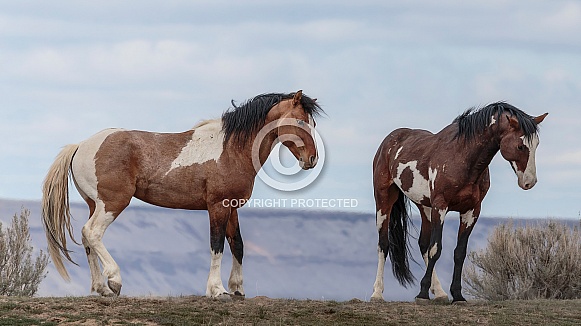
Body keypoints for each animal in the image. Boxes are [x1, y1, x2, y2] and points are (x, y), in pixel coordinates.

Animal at [40, 90, 322, 300]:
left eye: (313, 122)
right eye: (300, 121)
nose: (312, 159)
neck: (231, 148)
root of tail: (80, 146)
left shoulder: (232, 207)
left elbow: (238, 245)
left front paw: (238, 289)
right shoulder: (218, 206)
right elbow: (217, 245)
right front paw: (217, 290)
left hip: (94, 204)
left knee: (87, 239)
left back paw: (101, 288)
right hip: (112, 203)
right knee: (93, 232)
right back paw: (114, 280)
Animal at [370, 102, 548, 304]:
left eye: (536, 144)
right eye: (520, 145)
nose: (529, 182)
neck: (462, 157)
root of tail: (391, 140)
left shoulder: (471, 211)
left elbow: (459, 252)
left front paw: (457, 295)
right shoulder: (441, 206)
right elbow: (435, 249)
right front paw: (422, 294)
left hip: (425, 207)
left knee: (422, 244)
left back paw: (439, 292)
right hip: (384, 200)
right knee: (384, 244)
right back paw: (377, 293)